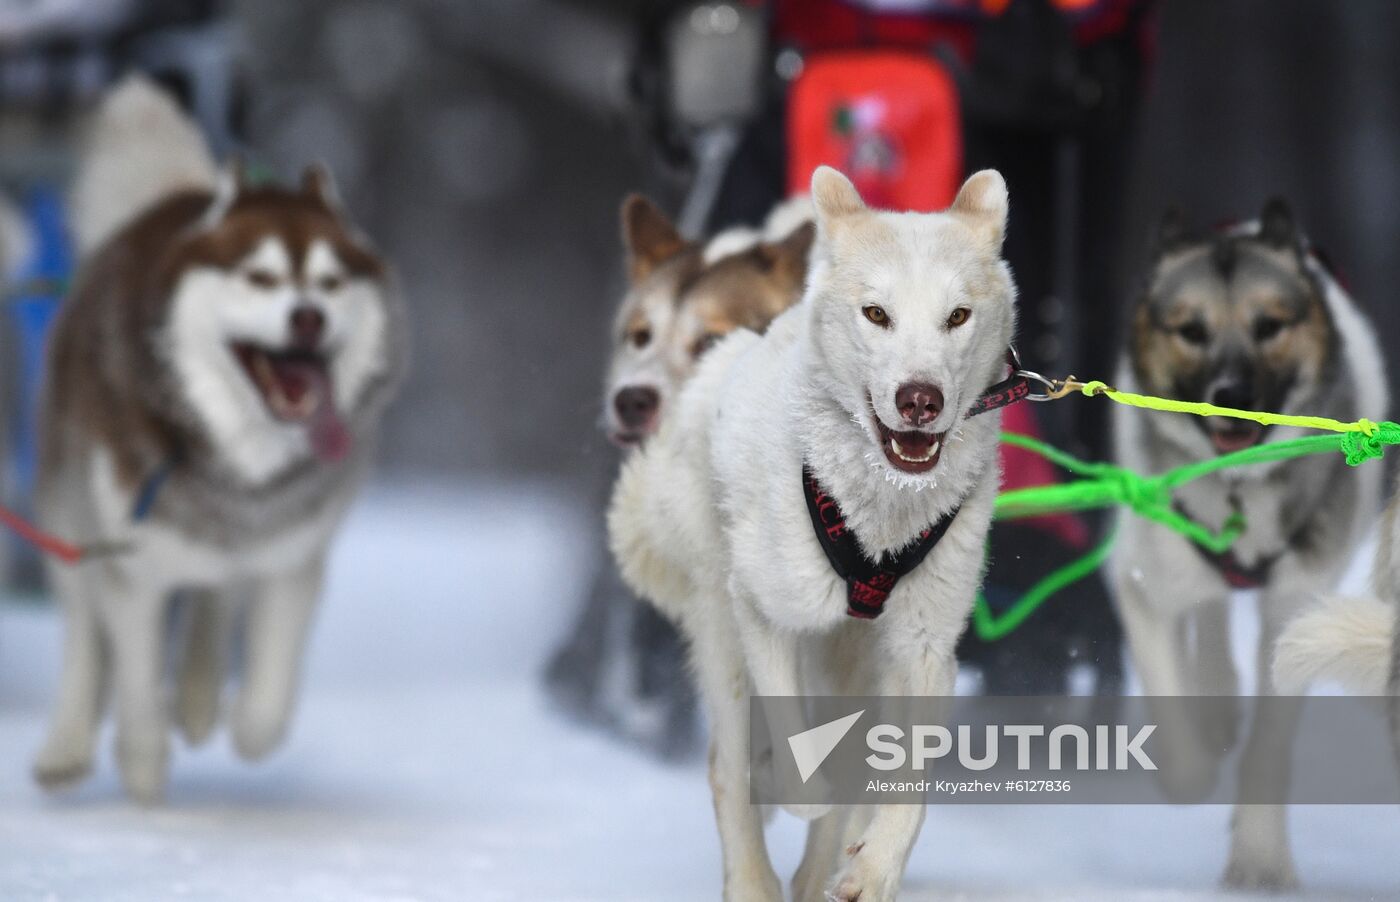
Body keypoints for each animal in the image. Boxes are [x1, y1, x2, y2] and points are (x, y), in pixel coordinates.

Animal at [32, 73, 406, 801]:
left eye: (329, 282)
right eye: (260, 277)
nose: (309, 317)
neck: (239, 463)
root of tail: (171, 202)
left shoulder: (289, 555)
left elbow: (266, 698)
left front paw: (243, 723)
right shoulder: (131, 563)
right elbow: (133, 674)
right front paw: (143, 765)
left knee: (216, 595)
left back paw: (201, 696)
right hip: (67, 510)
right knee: (85, 635)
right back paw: (67, 745)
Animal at [613, 165, 1019, 896]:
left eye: (957, 316)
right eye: (877, 313)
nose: (921, 399)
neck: (878, 515)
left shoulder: (923, 646)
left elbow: (905, 788)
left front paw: (873, 870)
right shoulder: (765, 610)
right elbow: (794, 760)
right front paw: (793, 788)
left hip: (853, 658)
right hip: (723, 627)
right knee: (727, 764)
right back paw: (755, 879)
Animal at [1103, 203, 1388, 885]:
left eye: (1269, 326)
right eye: (1191, 330)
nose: (1232, 395)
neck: (1236, 488)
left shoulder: (1297, 608)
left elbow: (1269, 741)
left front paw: (1260, 857)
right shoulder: (1142, 580)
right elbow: (1171, 709)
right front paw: (1196, 770)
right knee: (1205, 617)